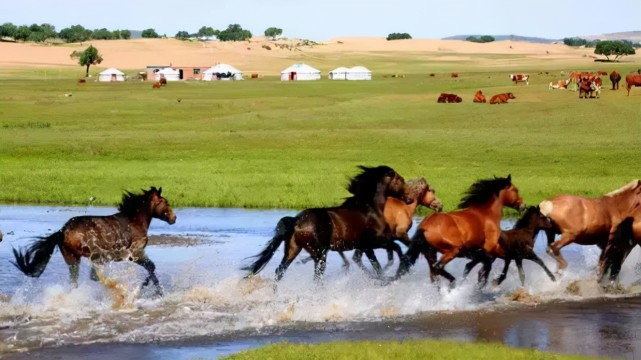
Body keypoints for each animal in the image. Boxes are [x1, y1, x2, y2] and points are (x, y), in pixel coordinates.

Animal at [11, 187, 178, 296]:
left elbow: (151, 268)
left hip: (73, 260)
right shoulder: (135, 253)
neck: (134, 221)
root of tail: (62, 231)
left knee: (77, 281)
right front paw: (151, 289)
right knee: (94, 276)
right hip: (95, 255)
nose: (174, 218)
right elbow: (151, 267)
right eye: (166, 202)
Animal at [242, 166, 408, 282]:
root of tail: (296, 221)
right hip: (319, 254)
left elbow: (376, 263)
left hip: (292, 250)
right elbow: (395, 250)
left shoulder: (365, 247)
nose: (408, 198)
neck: (369, 208)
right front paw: (399, 273)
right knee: (316, 277)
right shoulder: (373, 242)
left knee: (280, 271)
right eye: (400, 180)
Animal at [396, 174, 524, 286]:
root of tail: (424, 227)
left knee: (434, 275)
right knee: (437, 268)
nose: (523, 205)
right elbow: (491, 266)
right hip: (453, 250)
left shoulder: (479, 251)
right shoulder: (490, 247)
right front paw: (488, 283)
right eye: (516, 190)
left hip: (431, 253)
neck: (487, 214)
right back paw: (453, 284)